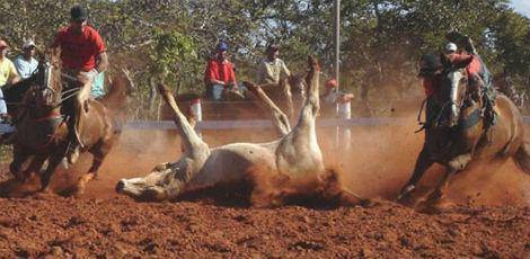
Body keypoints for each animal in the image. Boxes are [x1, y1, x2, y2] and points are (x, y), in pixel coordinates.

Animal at [8, 52, 130, 195]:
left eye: (56, 68)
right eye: (40, 69)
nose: (45, 95)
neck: (45, 114)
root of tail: (107, 108)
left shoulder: (58, 151)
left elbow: (45, 175)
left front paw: (43, 191)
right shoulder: (25, 145)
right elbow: (15, 167)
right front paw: (24, 179)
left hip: (102, 150)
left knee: (93, 170)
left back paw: (79, 187)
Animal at [396, 53, 528, 210]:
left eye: (464, 80)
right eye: (444, 78)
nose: (450, 112)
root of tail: (518, 119)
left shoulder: (466, 155)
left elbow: (452, 165)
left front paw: (434, 196)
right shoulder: (429, 150)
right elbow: (417, 172)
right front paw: (404, 194)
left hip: (498, 159)